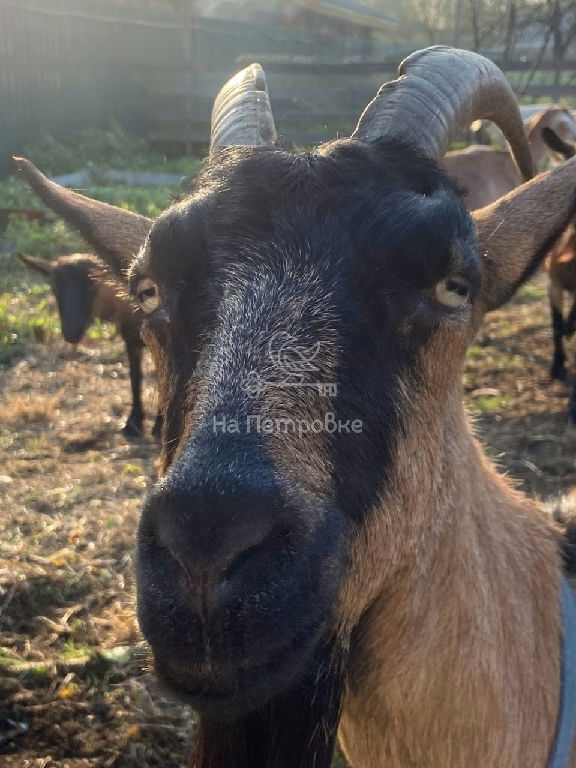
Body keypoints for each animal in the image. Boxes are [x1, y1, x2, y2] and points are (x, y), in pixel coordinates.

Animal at [17, 249, 160, 436]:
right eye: (54, 288)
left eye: (93, 286)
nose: (71, 332)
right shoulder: (130, 338)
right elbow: (135, 376)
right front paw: (134, 421)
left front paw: (160, 424)